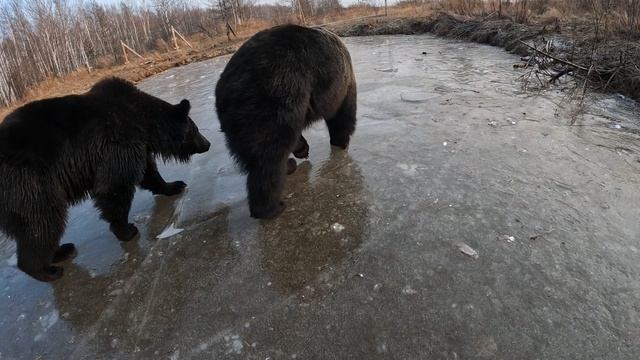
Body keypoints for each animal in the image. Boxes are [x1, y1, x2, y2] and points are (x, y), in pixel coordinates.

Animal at [0, 77, 211, 282]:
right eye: (195, 129)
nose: (208, 144)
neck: (143, 122)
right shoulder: (117, 143)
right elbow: (114, 185)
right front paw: (126, 229)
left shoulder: (138, 146)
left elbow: (149, 172)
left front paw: (174, 185)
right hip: (28, 183)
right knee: (42, 221)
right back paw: (47, 270)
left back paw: (61, 251)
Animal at [214, 24, 356, 219]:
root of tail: (228, 92)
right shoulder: (340, 83)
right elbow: (342, 113)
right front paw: (341, 141)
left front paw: (303, 148)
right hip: (274, 95)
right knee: (270, 158)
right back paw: (271, 207)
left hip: (239, 124)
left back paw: (289, 165)